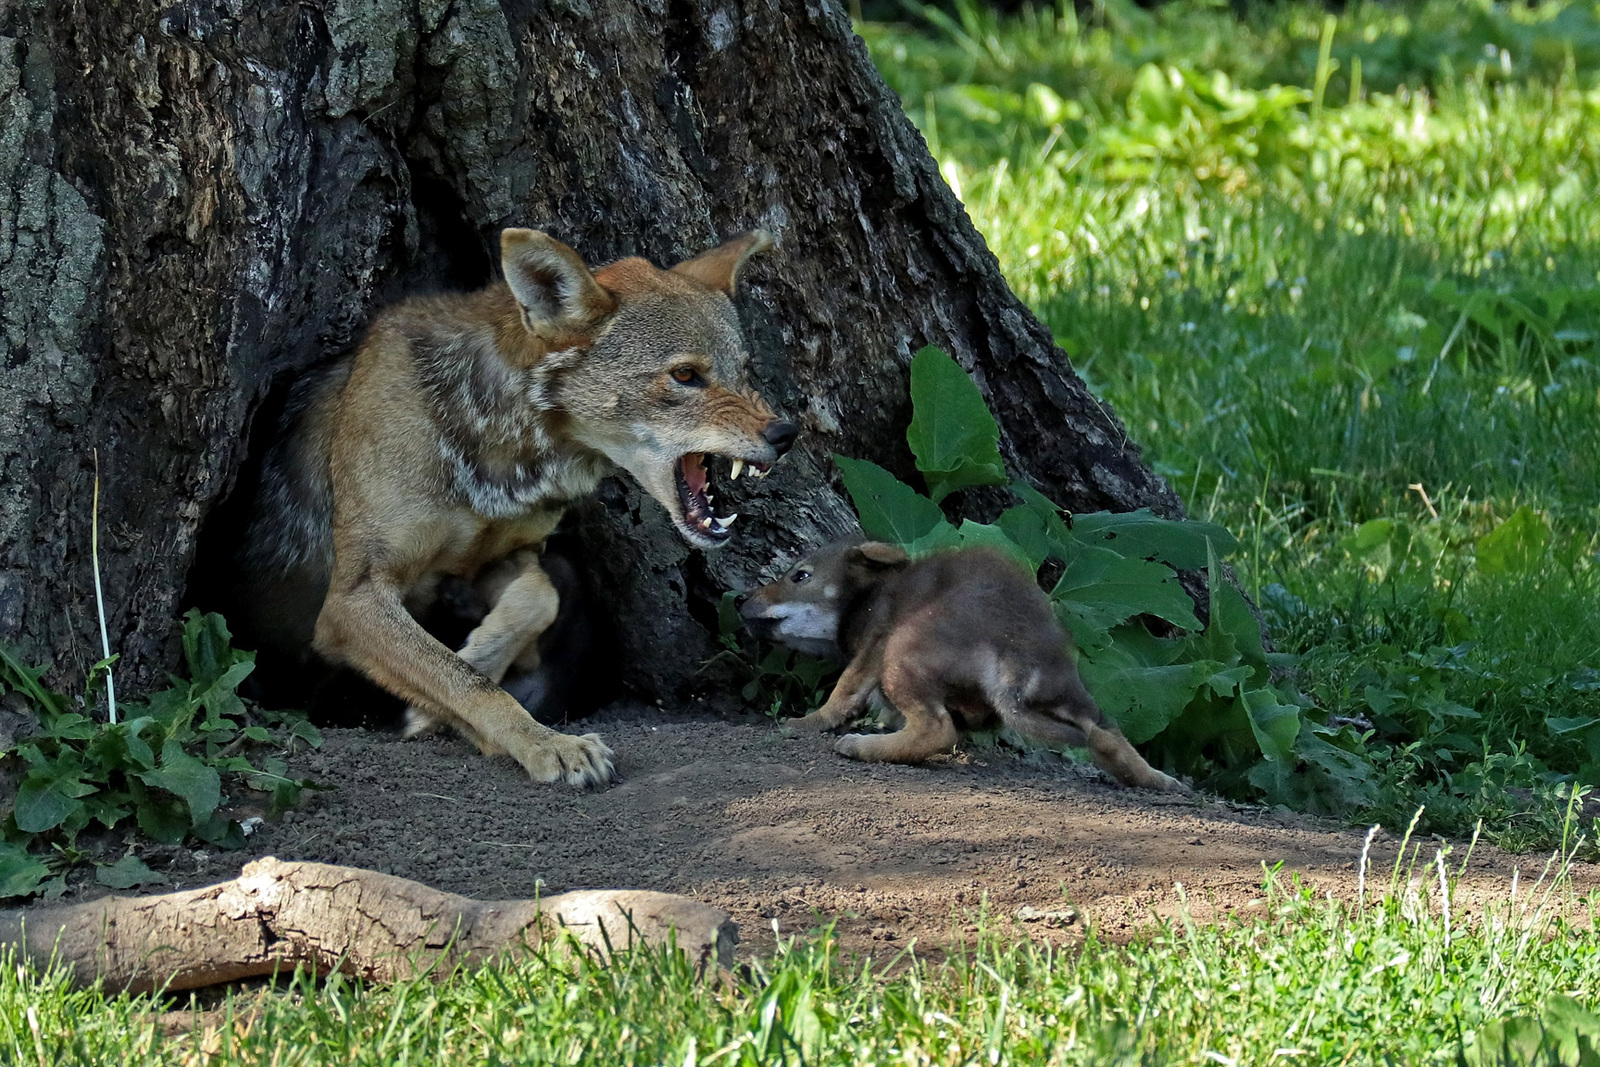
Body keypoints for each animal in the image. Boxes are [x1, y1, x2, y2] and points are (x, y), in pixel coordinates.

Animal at [239, 229, 797, 788]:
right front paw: (548, 744)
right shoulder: (353, 599)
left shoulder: (512, 554)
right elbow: (461, 681)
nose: (786, 433)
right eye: (685, 375)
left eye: (744, 370)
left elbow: (536, 600)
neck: (497, 449)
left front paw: (477, 661)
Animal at [738, 538, 1186, 792]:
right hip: (1067, 691)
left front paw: (804, 722)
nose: (740, 600)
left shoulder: (874, 646)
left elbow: (842, 692)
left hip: (902, 652)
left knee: (937, 730)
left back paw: (861, 746)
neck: (868, 595)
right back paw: (1160, 781)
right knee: (1106, 731)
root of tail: (1012, 654)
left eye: (800, 575)